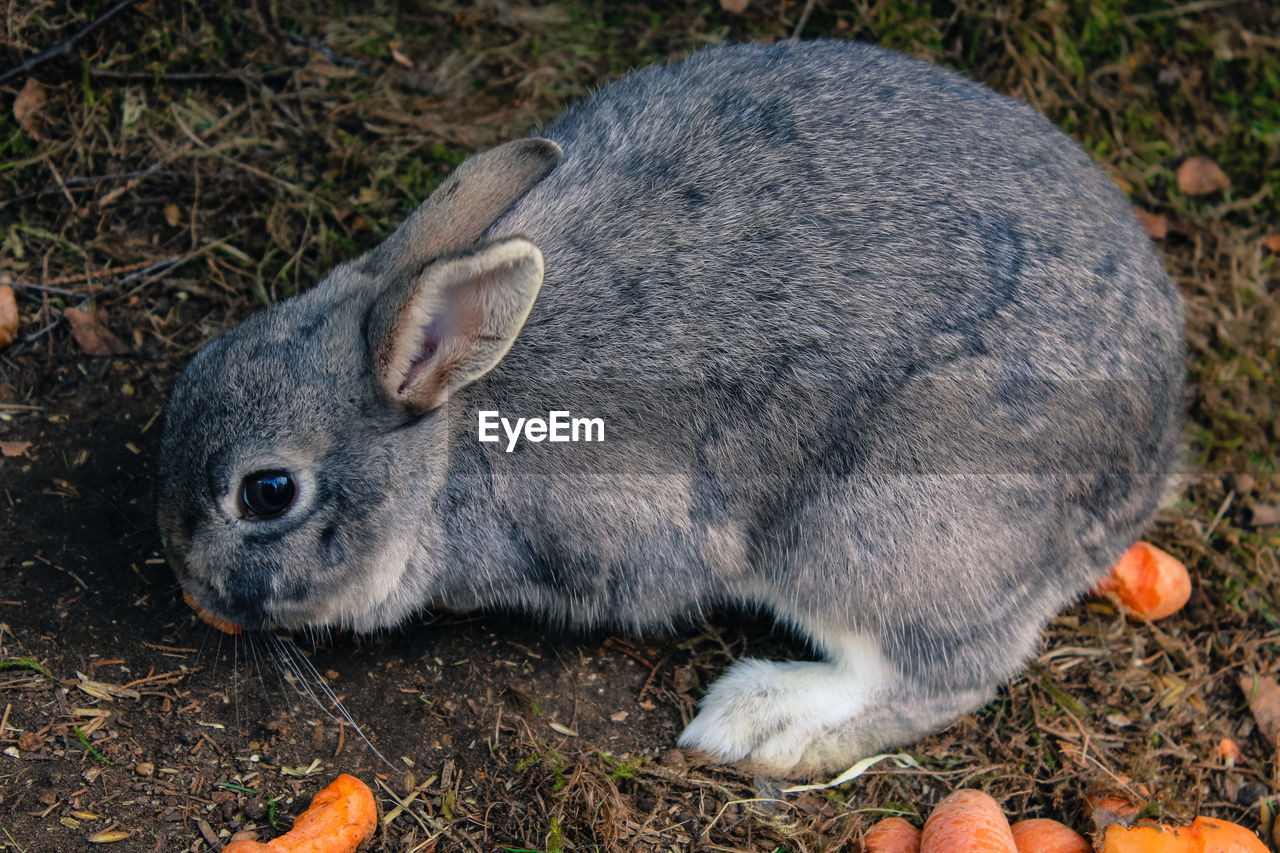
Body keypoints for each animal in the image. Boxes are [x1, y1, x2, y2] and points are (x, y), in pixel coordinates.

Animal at [154, 36, 1182, 773]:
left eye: (267, 491)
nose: (188, 582)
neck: (448, 438)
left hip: (876, 526)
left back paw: (762, 724)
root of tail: (1150, 456)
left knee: (940, 670)